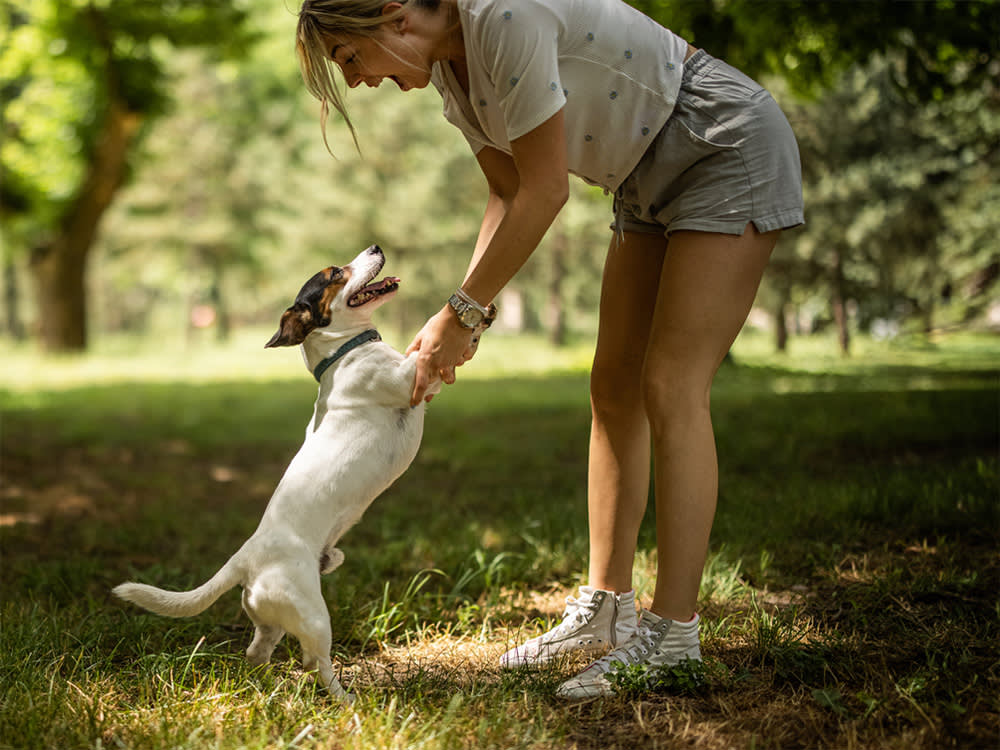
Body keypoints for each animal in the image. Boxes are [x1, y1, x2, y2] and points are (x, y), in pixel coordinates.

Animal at [114, 248, 496, 704]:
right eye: (335, 274)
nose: (375, 247)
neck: (345, 352)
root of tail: (245, 558)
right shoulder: (411, 381)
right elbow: (426, 361)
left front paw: (481, 320)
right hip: (314, 617)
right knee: (316, 662)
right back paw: (348, 701)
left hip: (273, 621)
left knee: (256, 652)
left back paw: (267, 685)